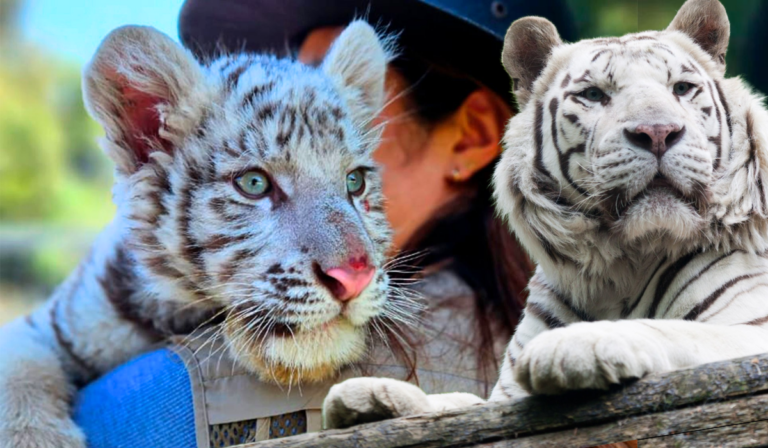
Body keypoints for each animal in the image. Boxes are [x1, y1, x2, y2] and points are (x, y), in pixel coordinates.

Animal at [321, 0, 768, 430]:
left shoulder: (750, 331)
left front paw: (575, 345)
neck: (624, 264)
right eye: (594, 94)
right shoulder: (502, 394)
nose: (657, 132)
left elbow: (674, 330)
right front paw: (371, 396)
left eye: (682, 89)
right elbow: (460, 403)